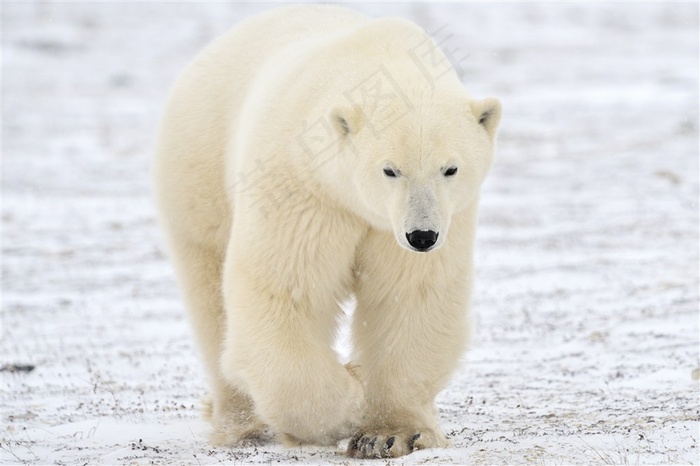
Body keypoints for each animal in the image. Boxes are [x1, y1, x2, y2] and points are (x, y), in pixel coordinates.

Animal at [156, 3, 500, 460]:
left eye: (451, 168)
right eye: (389, 169)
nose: (422, 236)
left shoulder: (431, 221)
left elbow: (409, 296)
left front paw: (391, 432)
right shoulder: (306, 190)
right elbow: (285, 290)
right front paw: (347, 408)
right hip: (199, 168)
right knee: (210, 293)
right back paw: (241, 422)